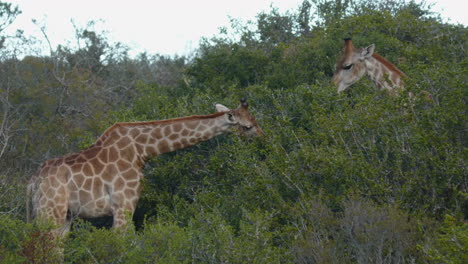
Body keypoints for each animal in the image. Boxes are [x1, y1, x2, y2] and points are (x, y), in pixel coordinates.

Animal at [26, 100, 264, 236]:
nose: (264, 139)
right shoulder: (123, 205)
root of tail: (32, 182)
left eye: (255, 120)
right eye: (247, 127)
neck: (142, 150)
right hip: (50, 212)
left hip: (62, 215)